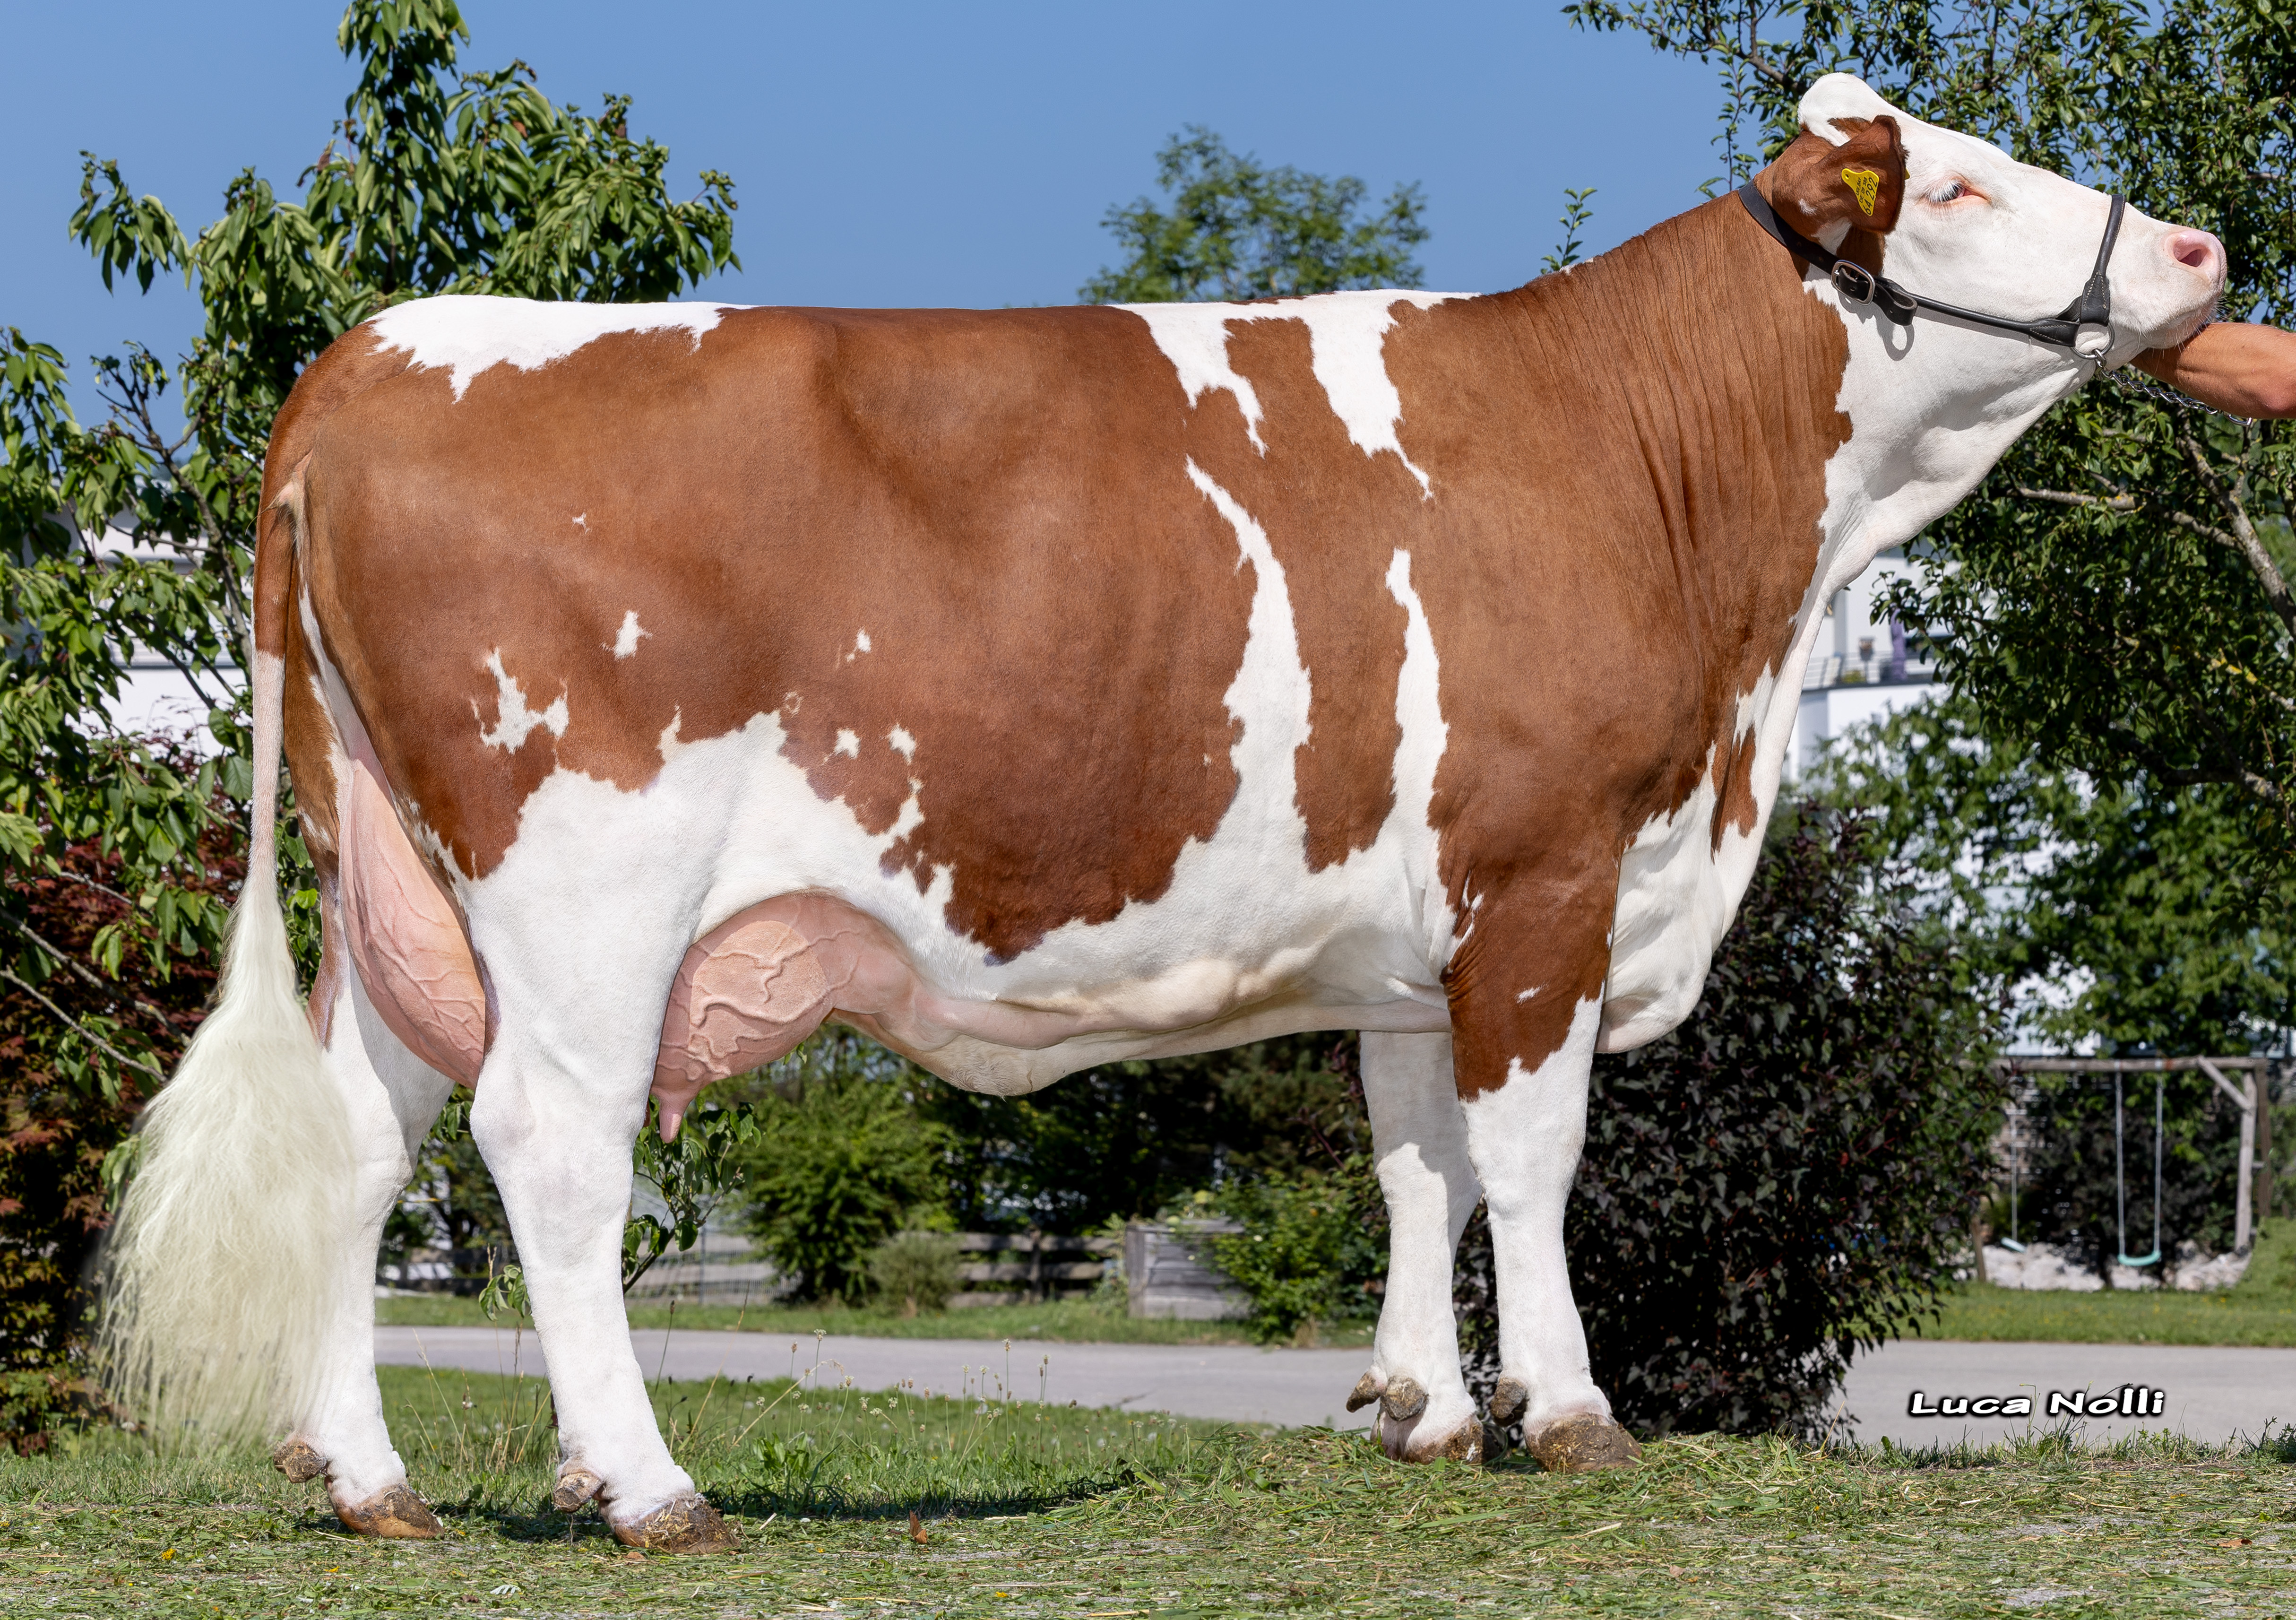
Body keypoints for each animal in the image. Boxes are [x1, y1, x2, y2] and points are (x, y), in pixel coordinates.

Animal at [98, 73, 2222, 1551]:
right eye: (1957, 184)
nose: (2201, 252)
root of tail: (387, 348)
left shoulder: (1417, 928)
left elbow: (1413, 1156)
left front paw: (1417, 1406)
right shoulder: (1542, 868)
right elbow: (1531, 1158)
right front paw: (1564, 1408)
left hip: (401, 888)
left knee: (363, 1138)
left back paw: (364, 1473)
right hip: (583, 891)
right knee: (547, 1146)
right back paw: (644, 1484)